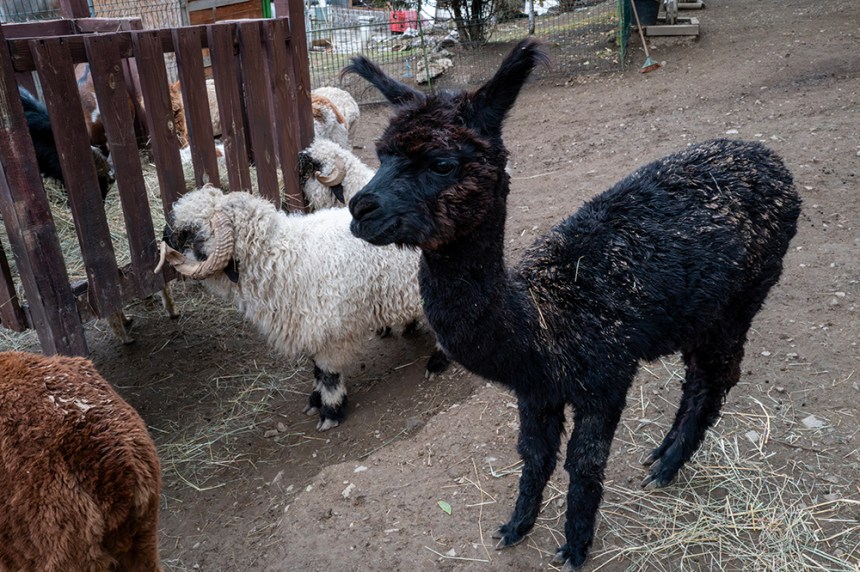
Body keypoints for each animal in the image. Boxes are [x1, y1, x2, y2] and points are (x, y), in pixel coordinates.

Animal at [155, 186, 449, 431]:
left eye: (190, 231)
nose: (163, 238)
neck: (281, 257)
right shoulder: (311, 327)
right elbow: (316, 369)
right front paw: (314, 401)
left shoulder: (333, 332)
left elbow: (329, 374)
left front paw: (331, 412)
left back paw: (437, 363)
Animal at [345, 39, 802, 570]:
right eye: (380, 154)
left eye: (441, 162)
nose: (360, 209)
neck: (542, 320)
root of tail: (769, 157)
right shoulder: (535, 390)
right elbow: (534, 455)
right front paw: (515, 527)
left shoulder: (605, 380)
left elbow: (583, 464)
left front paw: (576, 546)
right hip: (699, 312)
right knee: (696, 376)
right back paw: (660, 454)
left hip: (743, 297)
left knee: (718, 376)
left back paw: (668, 466)